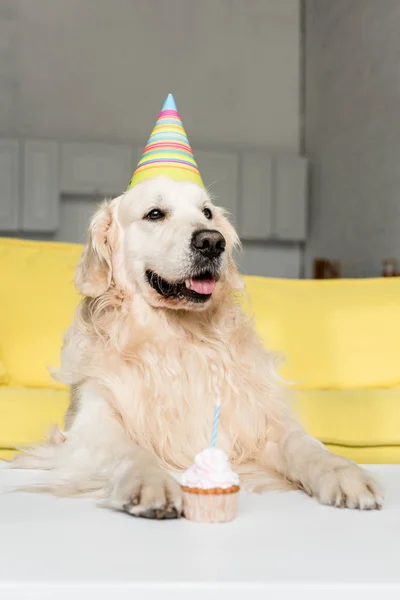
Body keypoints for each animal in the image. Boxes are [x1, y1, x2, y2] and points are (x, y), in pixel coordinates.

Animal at [10, 177, 382, 516]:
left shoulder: (255, 423)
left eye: (207, 213)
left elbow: (304, 444)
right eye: (155, 213)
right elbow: (132, 451)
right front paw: (150, 483)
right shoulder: (91, 423)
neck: (176, 339)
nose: (212, 241)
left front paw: (343, 472)